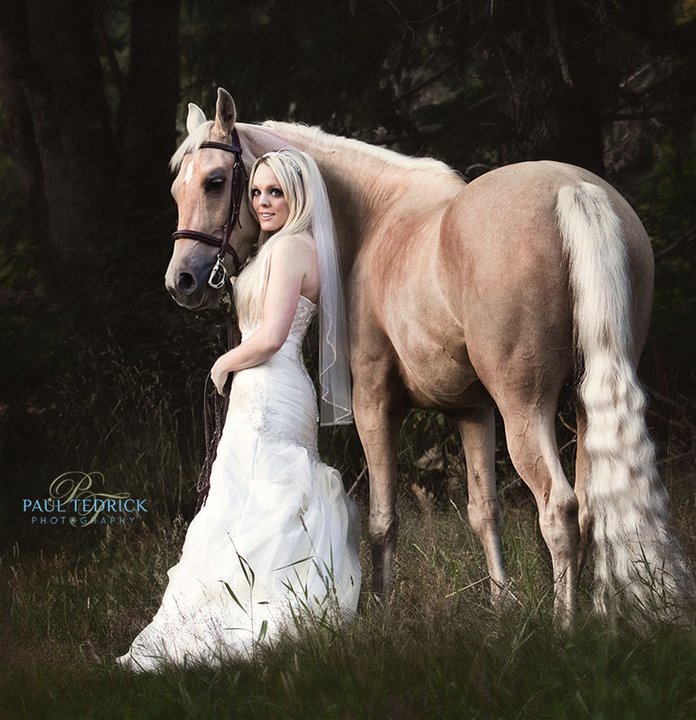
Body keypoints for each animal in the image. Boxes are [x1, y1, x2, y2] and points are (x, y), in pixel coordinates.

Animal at [164, 88, 692, 624]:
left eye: (215, 182)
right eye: (177, 190)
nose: (181, 281)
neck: (376, 220)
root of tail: (572, 189)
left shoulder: (374, 403)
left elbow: (382, 518)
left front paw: (381, 612)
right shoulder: (473, 410)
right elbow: (484, 510)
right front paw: (500, 603)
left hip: (524, 406)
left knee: (558, 507)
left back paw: (566, 626)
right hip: (582, 400)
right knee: (588, 504)